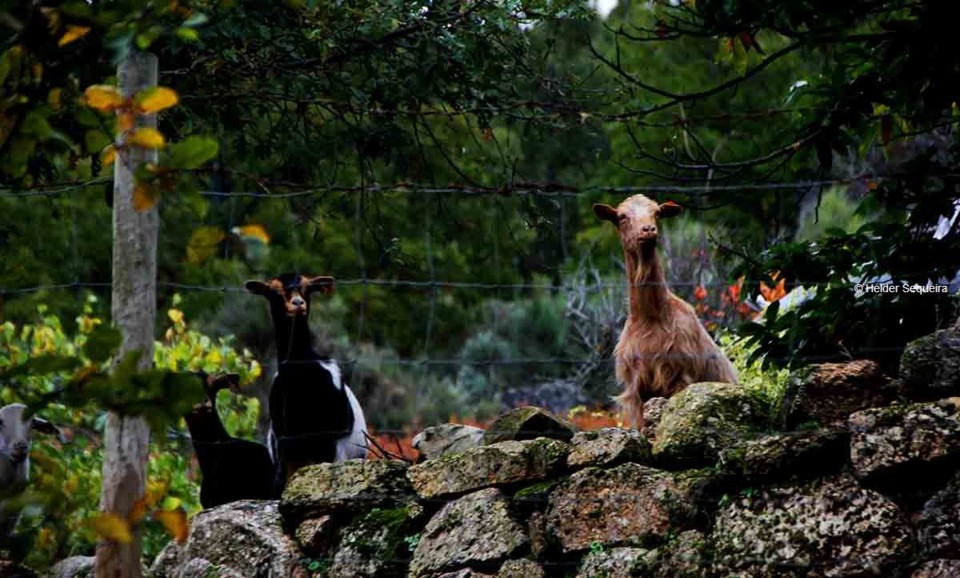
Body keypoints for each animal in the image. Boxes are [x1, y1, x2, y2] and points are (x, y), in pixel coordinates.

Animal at [594, 195, 739, 430]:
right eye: (622, 216)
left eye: (657, 213)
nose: (648, 229)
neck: (651, 317)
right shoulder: (636, 389)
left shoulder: (679, 376)